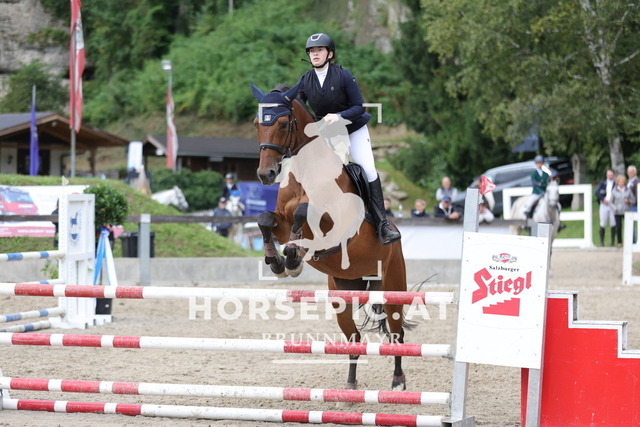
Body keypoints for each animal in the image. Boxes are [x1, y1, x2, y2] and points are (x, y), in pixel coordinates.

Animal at [251, 83, 408, 391]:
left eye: (284, 123)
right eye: (256, 124)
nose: (266, 174)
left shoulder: (333, 222)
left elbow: (304, 212)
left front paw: (292, 257)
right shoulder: (281, 220)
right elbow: (266, 219)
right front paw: (277, 262)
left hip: (393, 287)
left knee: (396, 335)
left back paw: (398, 382)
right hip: (343, 295)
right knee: (354, 338)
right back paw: (350, 384)